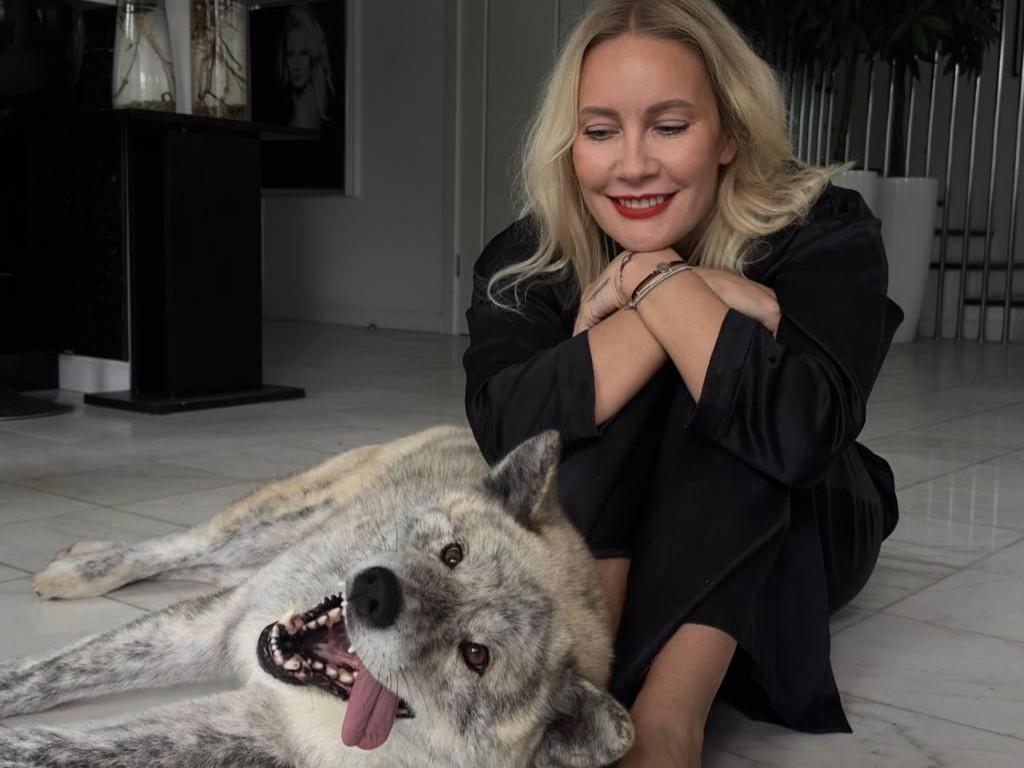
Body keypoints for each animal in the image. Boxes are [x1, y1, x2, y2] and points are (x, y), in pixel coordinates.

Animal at [0, 426, 633, 768]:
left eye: (476, 655)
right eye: (452, 553)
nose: (375, 591)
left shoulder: (251, 731)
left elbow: (53, 747)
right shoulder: (216, 625)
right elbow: (51, 673)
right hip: (278, 522)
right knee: (184, 548)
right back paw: (78, 566)